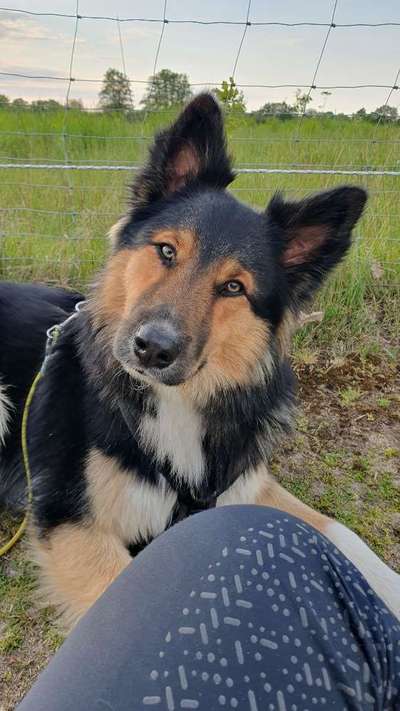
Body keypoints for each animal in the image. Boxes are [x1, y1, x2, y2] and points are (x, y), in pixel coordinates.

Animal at [0, 96, 400, 628]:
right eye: (167, 250)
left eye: (233, 287)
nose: (153, 348)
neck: (177, 402)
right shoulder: (71, 520)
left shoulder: (244, 484)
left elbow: (341, 531)